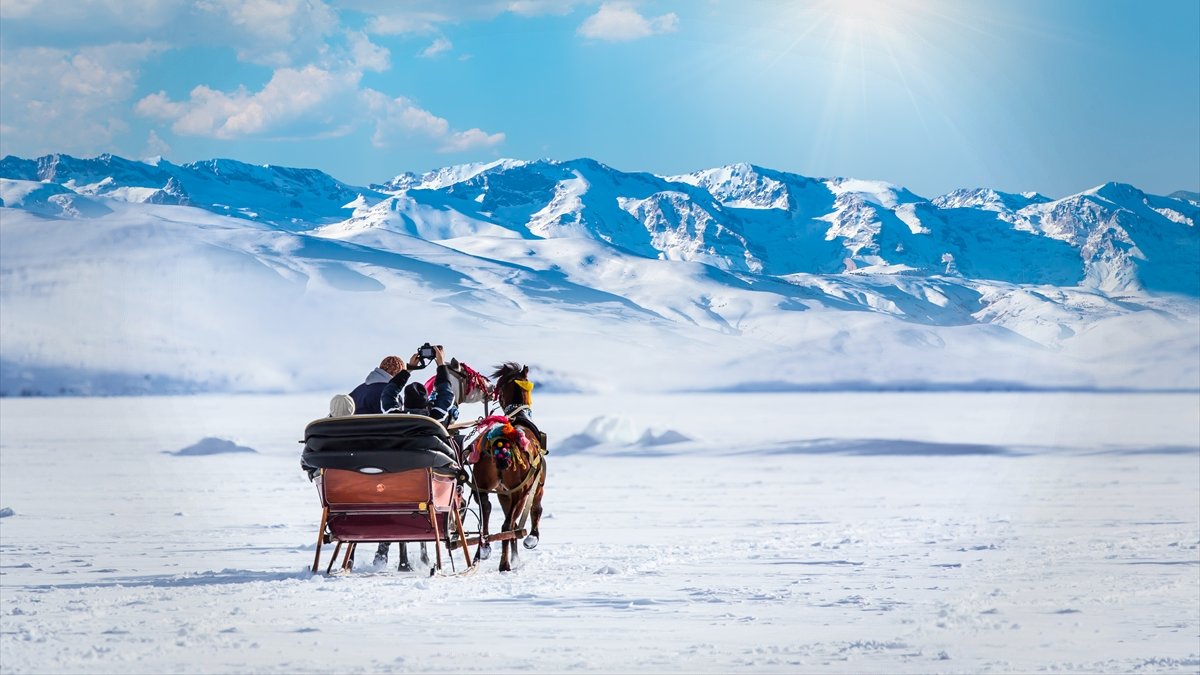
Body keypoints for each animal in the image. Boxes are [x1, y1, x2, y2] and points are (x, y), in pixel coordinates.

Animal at [468, 360, 549, 569]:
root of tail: (501, 442)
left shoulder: (503, 493)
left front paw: (514, 555)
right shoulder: (536, 486)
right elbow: (536, 510)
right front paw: (531, 538)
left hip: (482, 485)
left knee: (485, 513)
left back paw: (484, 548)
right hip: (521, 491)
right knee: (508, 526)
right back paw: (504, 563)